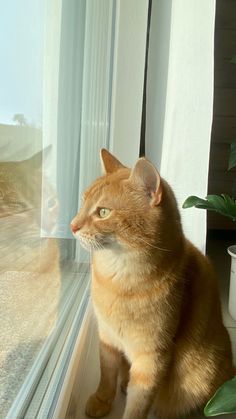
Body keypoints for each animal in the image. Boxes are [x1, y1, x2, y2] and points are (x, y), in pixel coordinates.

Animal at [70, 151, 234, 419]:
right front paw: (102, 400)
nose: (72, 226)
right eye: (83, 204)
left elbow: (138, 404)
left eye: (103, 212)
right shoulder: (107, 338)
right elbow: (107, 374)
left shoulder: (152, 357)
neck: (119, 282)